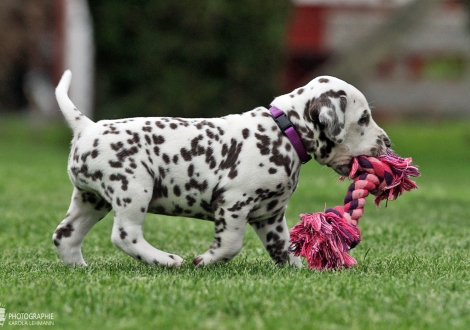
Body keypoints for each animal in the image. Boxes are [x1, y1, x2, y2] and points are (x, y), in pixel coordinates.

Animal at [51, 70, 392, 268]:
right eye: (363, 118)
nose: (387, 142)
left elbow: (285, 249)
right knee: (124, 236)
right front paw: (206, 260)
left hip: (90, 200)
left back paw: (81, 269)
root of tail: (87, 127)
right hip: (133, 189)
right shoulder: (233, 204)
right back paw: (166, 260)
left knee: (64, 236)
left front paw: (303, 270)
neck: (283, 131)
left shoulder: (270, 215)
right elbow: (230, 244)